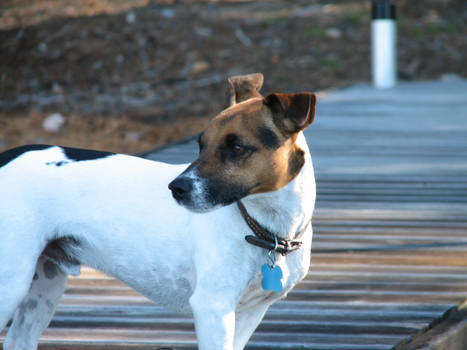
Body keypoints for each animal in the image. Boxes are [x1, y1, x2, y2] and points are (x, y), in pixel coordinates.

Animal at [0, 74, 316, 350]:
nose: (177, 188)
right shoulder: (213, 307)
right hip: (11, 283)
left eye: (237, 147)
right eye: (200, 144)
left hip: (44, 286)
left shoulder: (250, 311)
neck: (262, 228)